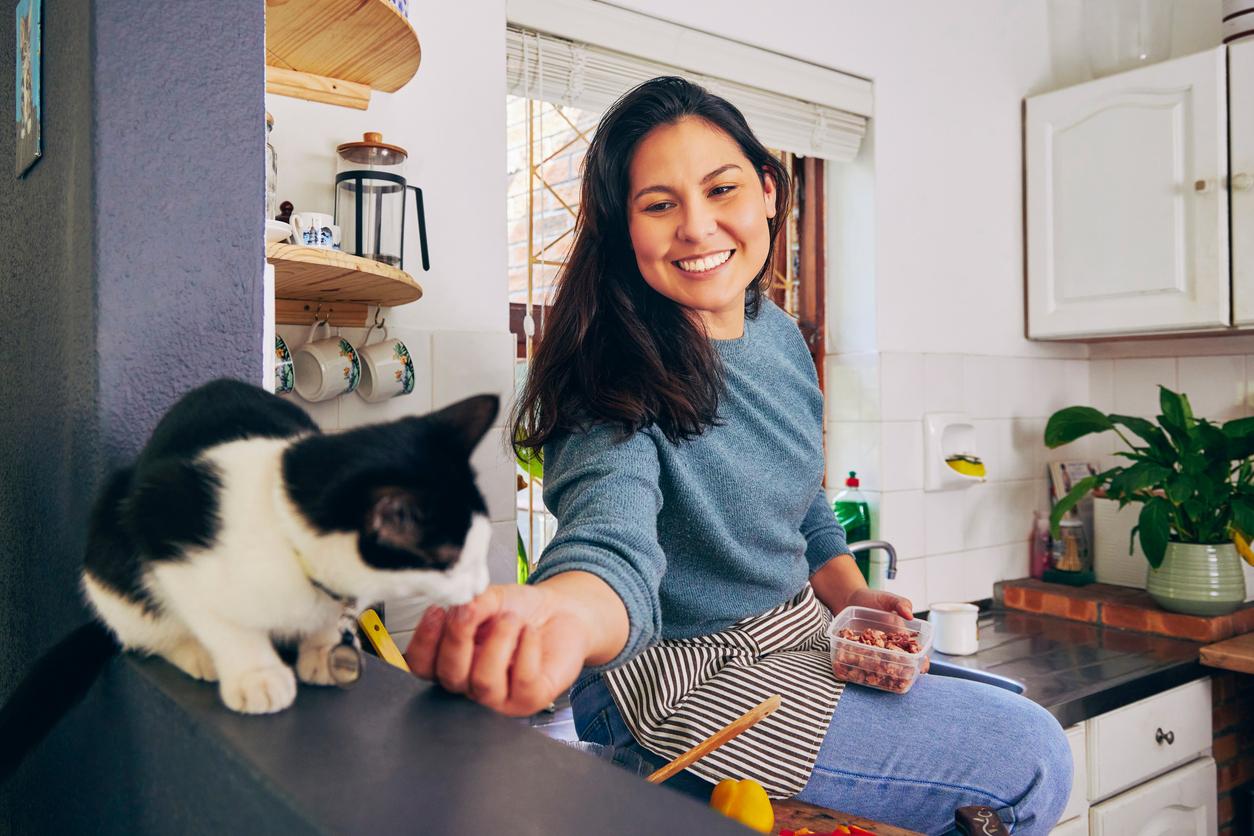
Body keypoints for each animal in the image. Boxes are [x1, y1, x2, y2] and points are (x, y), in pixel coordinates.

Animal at [1, 381, 499, 787]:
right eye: (454, 560)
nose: (482, 587)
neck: (287, 531)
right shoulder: (163, 525)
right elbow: (219, 617)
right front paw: (256, 673)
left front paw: (323, 648)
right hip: (110, 548)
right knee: (139, 629)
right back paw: (196, 653)